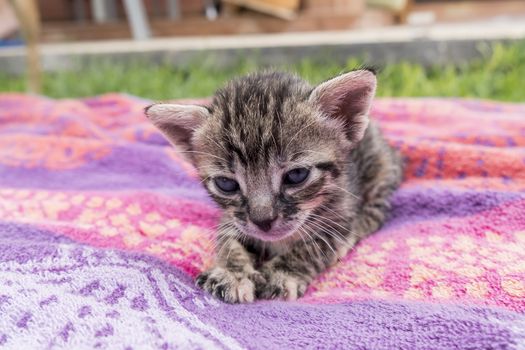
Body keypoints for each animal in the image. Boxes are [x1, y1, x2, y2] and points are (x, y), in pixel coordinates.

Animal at [144, 69, 402, 304]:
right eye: (226, 184)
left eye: (296, 175)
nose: (263, 221)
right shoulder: (232, 219)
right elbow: (228, 242)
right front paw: (232, 273)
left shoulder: (339, 222)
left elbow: (310, 249)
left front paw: (279, 273)